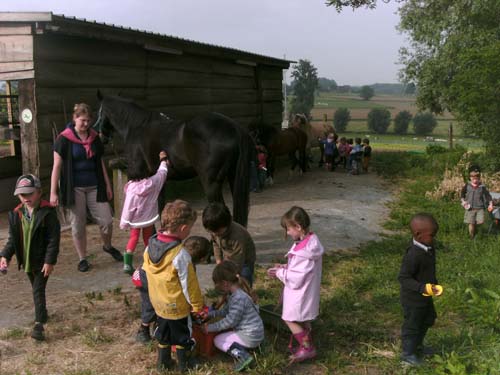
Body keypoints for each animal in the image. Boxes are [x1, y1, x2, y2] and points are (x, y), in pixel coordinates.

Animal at [96, 92, 254, 228]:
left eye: (99, 111)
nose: (101, 137)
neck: (137, 126)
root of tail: (234, 127)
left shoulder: (140, 175)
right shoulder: (158, 178)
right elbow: (160, 208)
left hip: (211, 184)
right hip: (232, 177)